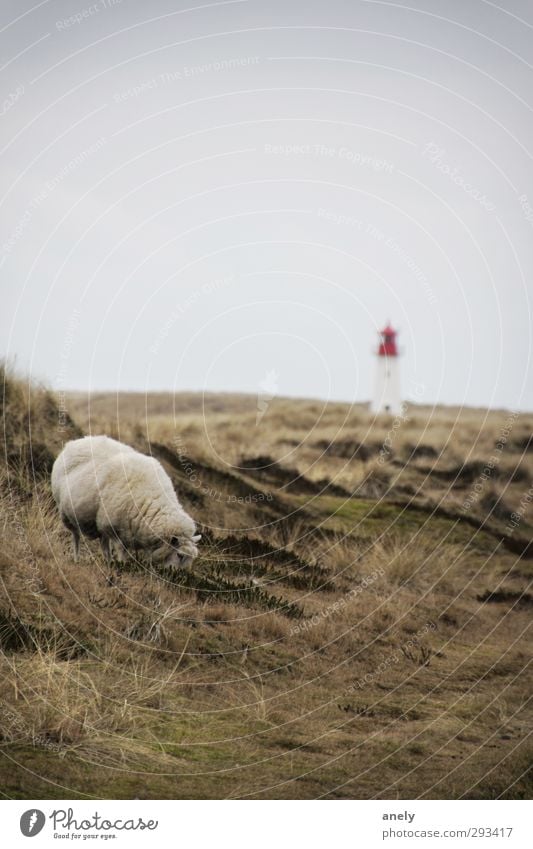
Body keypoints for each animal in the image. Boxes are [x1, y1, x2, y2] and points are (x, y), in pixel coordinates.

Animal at [51, 434, 201, 568]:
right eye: (180, 555)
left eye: (191, 558)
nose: (177, 575)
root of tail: (74, 442)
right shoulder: (114, 528)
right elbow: (120, 550)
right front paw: (122, 564)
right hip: (66, 513)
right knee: (76, 536)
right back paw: (76, 558)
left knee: (103, 542)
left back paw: (108, 562)